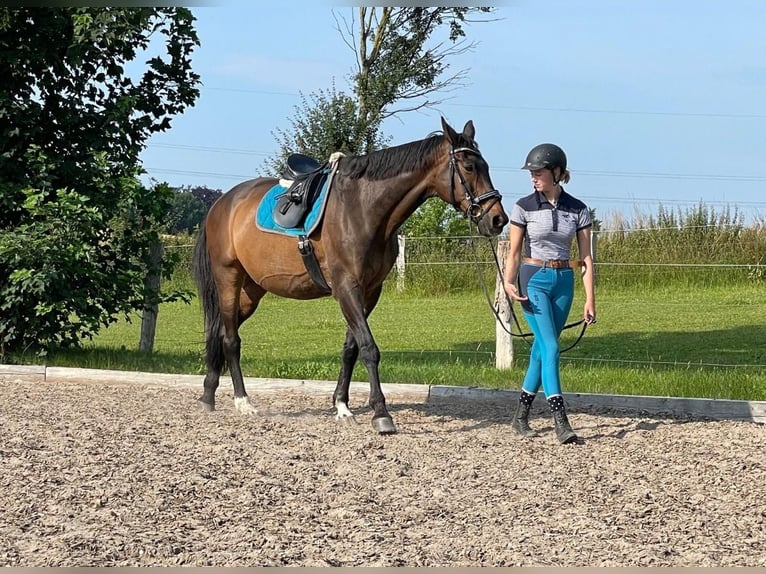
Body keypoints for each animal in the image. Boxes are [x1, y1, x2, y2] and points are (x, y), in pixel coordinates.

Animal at [194, 120, 510, 436]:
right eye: (469, 167)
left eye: (485, 165)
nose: (498, 219)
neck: (363, 209)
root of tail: (222, 203)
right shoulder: (347, 288)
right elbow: (369, 348)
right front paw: (381, 413)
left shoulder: (370, 291)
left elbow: (351, 348)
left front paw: (342, 406)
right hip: (228, 279)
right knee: (231, 339)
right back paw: (243, 402)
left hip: (251, 291)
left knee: (219, 333)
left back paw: (209, 395)